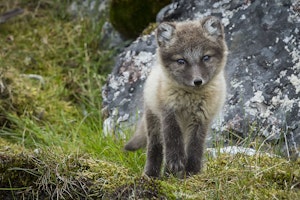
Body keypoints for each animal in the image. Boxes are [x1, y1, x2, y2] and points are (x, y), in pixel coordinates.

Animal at [124, 16, 227, 177]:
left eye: (206, 57)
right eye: (181, 61)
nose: (197, 81)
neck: (191, 99)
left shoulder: (202, 119)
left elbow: (195, 147)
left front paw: (192, 171)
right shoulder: (169, 112)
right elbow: (173, 138)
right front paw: (176, 162)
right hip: (154, 123)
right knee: (155, 148)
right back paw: (151, 175)